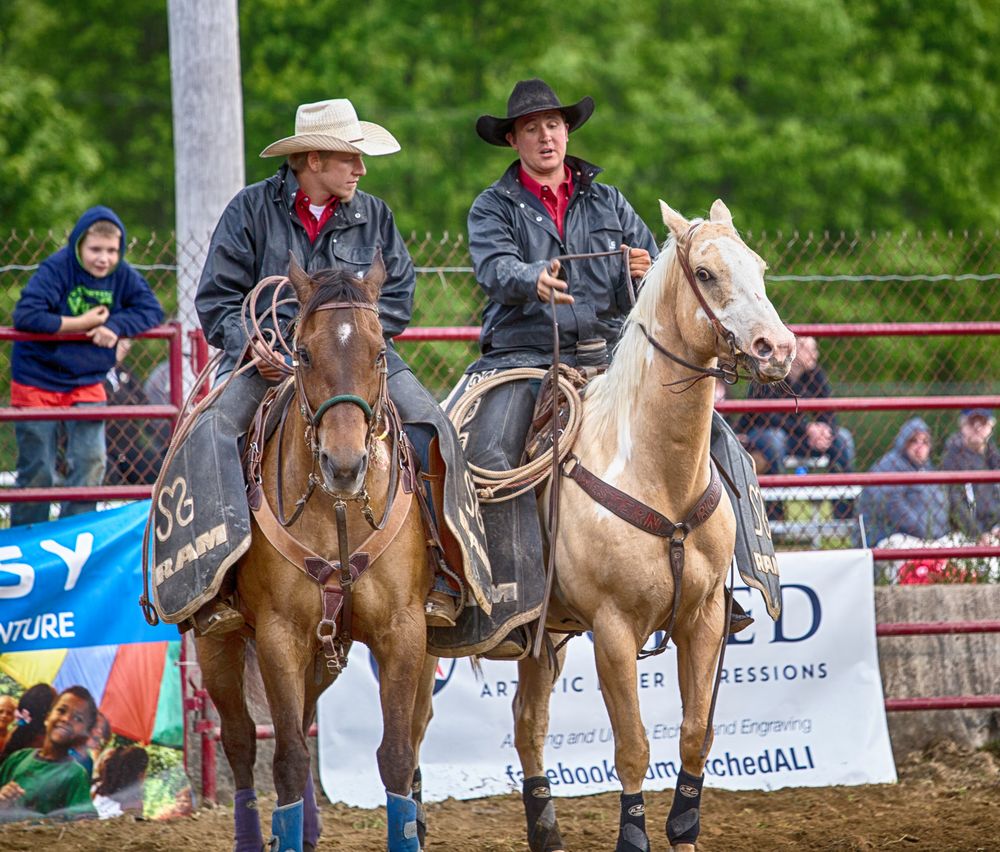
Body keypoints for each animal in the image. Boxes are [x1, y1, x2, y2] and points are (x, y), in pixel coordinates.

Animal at [193, 258, 432, 852]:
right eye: (300, 352)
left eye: (379, 352)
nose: (343, 465)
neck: (339, 511)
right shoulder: (279, 635)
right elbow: (285, 759)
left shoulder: (403, 629)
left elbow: (397, 755)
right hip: (218, 645)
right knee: (241, 741)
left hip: (322, 653)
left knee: (300, 721)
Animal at [488, 201, 792, 852]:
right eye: (704, 273)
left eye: (759, 266)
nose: (777, 348)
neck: (659, 477)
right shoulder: (613, 631)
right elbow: (631, 747)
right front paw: (634, 835)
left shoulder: (704, 620)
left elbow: (695, 734)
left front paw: (685, 828)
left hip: (542, 639)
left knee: (528, 722)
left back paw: (545, 831)